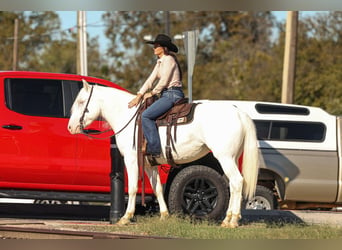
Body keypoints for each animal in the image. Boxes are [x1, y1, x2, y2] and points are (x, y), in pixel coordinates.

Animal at [67, 80, 260, 229]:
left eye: (81, 102)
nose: (70, 127)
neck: (129, 117)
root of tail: (239, 112)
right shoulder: (149, 164)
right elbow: (158, 188)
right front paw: (164, 215)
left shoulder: (131, 160)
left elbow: (133, 188)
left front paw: (125, 217)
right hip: (231, 157)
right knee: (233, 185)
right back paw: (227, 219)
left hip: (225, 157)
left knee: (237, 182)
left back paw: (232, 221)